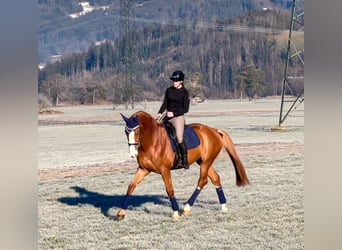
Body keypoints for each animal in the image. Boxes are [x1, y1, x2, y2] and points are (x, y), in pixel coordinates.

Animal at [117, 111, 248, 221]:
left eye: (137, 131)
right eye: (126, 132)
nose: (133, 154)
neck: (153, 141)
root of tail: (214, 130)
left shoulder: (165, 170)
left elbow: (169, 190)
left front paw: (175, 214)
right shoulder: (143, 169)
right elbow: (131, 187)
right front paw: (120, 213)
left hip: (206, 163)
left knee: (202, 181)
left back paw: (186, 208)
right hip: (203, 162)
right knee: (215, 178)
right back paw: (223, 206)